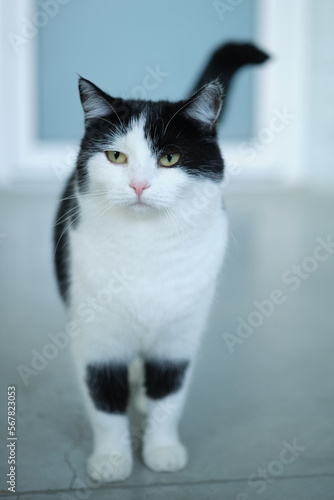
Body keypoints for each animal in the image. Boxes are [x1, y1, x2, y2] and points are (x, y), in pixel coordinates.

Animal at [54, 40, 268, 480]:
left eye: (170, 159)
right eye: (115, 156)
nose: (139, 185)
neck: (145, 247)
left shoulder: (178, 339)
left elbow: (169, 399)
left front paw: (163, 451)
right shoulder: (97, 340)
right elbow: (104, 403)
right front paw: (112, 460)